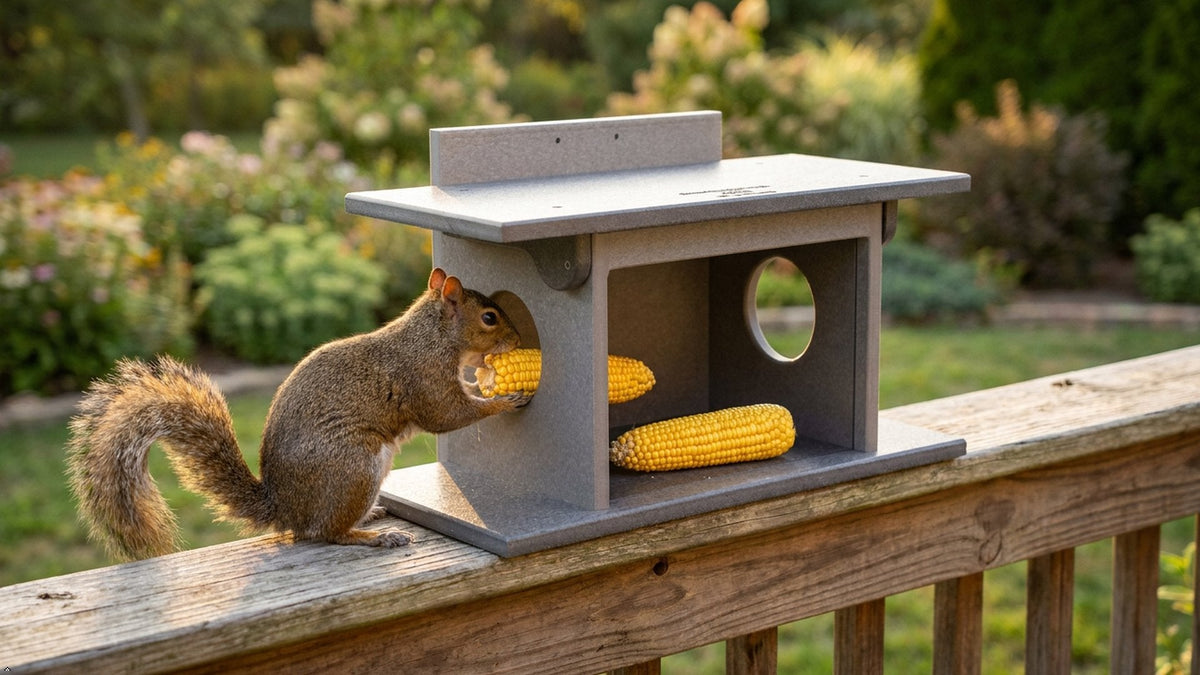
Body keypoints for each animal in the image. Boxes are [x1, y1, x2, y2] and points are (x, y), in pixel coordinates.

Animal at [67, 267, 531, 560]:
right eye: (489, 317)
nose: (518, 339)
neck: (432, 334)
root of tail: (284, 507)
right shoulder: (424, 377)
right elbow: (448, 415)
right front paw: (506, 399)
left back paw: (372, 516)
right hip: (353, 468)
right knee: (323, 534)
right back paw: (375, 536)